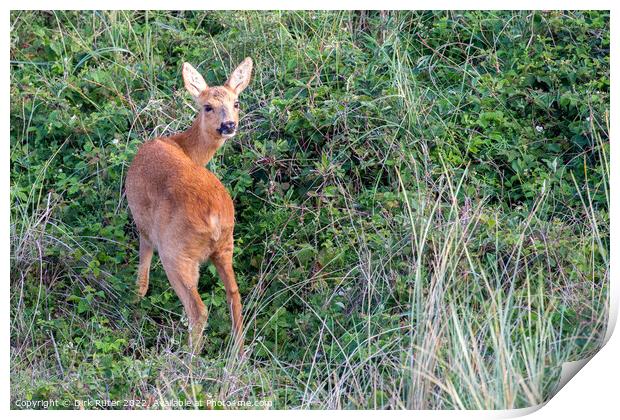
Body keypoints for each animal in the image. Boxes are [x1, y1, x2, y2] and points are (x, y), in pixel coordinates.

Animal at [126, 57, 252, 352]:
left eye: (236, 102)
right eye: (208, 106)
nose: (229, 125)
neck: (180, 144)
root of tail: (215, 218)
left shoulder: (143, 222)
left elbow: (143, 265)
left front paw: (135, 299)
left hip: (177, 253)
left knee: (198, 310)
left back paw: (188, 358)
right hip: (225, 245)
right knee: (234, 295)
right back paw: (238, 354)